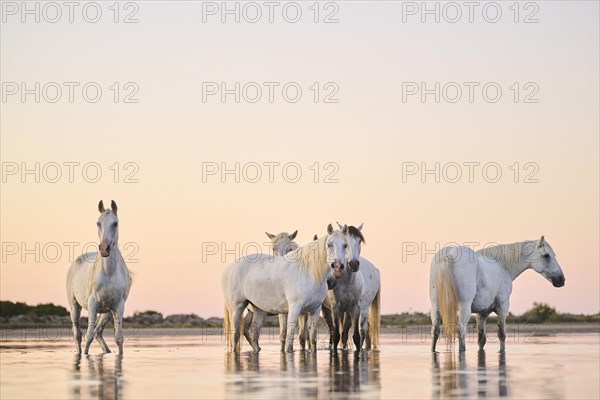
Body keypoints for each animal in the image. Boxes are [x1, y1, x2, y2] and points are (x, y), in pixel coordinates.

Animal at [67, 200, 132, 354]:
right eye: (98, 223)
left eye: (115, 223)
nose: (104, 249)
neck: (109, 273)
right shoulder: (92, 305)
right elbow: (88, 336)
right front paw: (85, 356)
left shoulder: (119, 306)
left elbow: (118, 338)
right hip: (74, 307)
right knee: (78, 334)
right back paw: (79, 353)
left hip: (106, 313)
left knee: (98, 332)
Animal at [221, 225, 346, 354]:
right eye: (329, 245)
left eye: (345, 245)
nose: (337, 266)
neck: (308, 272)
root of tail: (229, 269)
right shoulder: (293, 309)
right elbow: (288, 339)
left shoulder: (314, 310)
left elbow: (312, 339)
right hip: (237, 308)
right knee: (235, 335)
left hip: (258, 310)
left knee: (254, 332)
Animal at [432, 236, 564, 352]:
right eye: (546, 255)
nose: (561, 279)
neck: (502, 266)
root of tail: (449, 253)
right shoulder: (503, 308)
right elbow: (502, 335)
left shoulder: (482, 314)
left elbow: (481, 340)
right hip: (464, 306)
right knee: (461, 332)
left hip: (436, 306)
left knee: (435, 331)